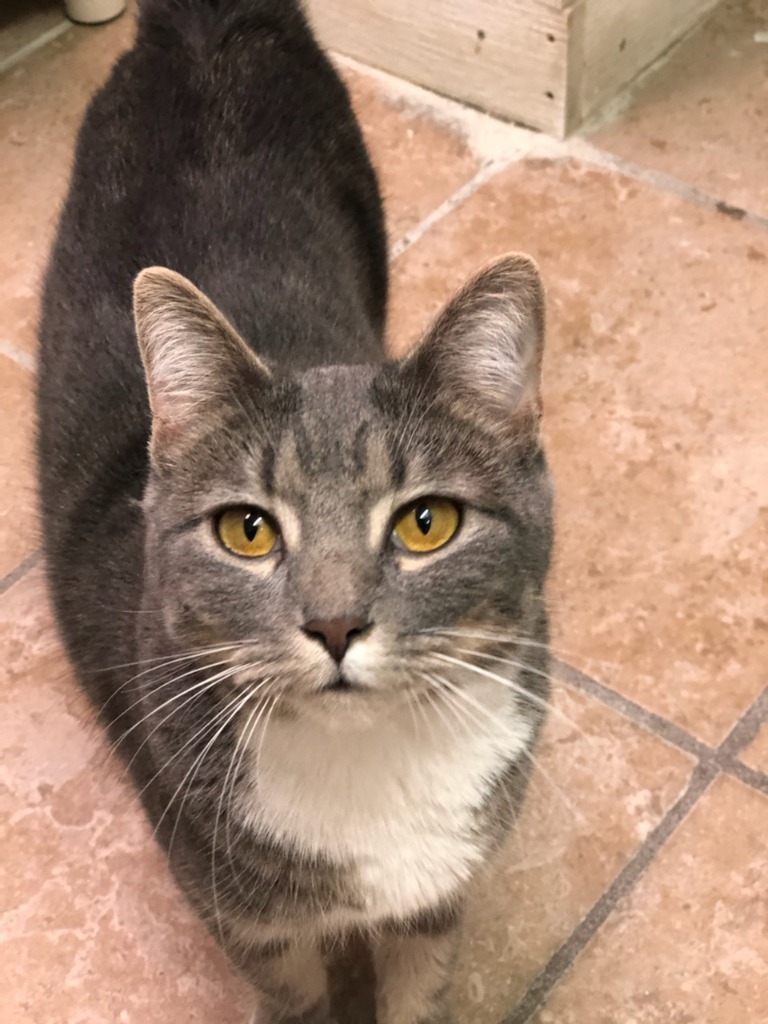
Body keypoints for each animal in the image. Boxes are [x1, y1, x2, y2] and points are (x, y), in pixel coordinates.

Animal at [36, 2, 552, 1024]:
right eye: (248, 530)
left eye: (426, 523)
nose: (336, 623)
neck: (370, 773)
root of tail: (201, 29)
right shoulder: (248, 924)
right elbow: (296, 998)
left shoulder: (439, 902)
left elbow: (420, 990)